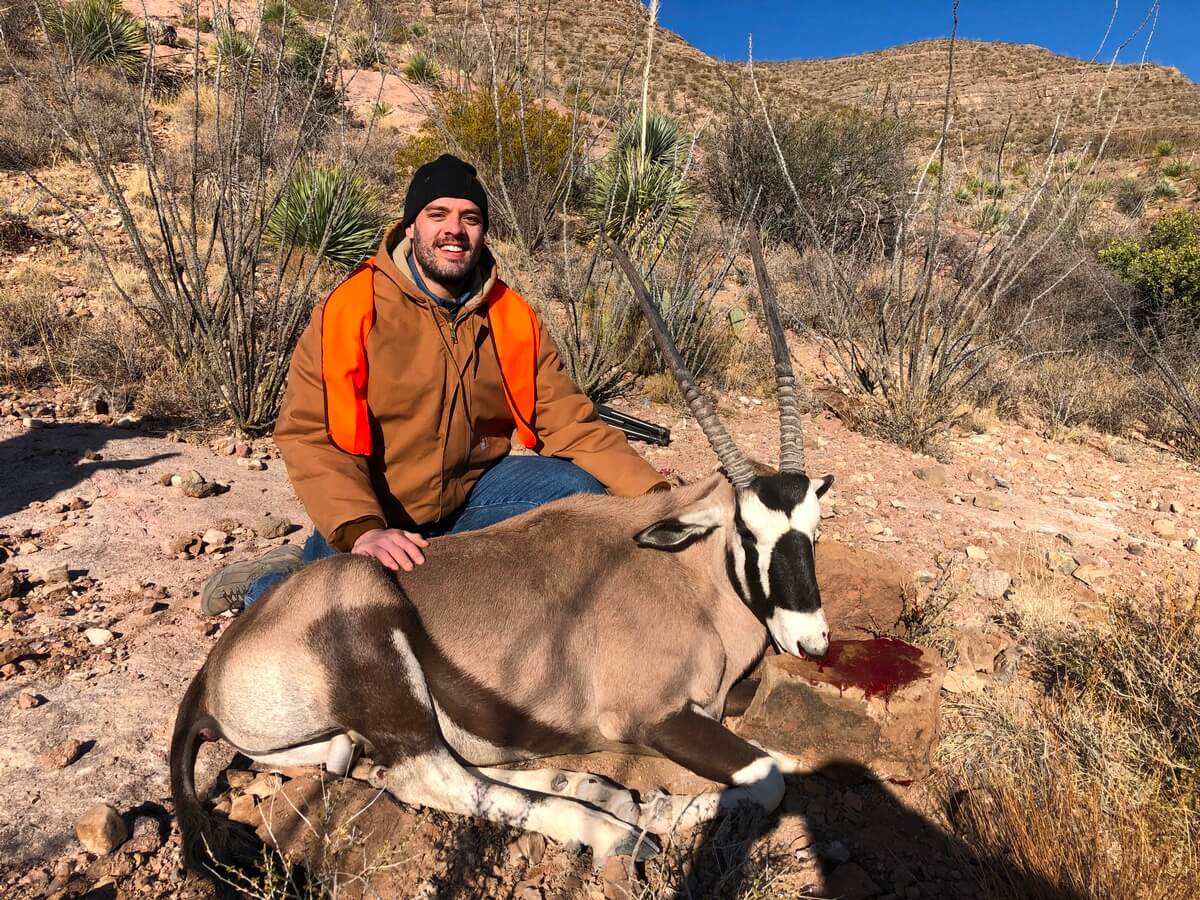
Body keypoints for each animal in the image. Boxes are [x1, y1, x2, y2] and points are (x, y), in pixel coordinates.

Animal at [169, 235, 834, 878]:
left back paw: (603, 790)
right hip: (381, 655)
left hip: (350, 737)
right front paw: (675, 809)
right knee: (431, 777)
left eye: (813, 529)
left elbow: (791, 755)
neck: (685, 576)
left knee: (413, 768)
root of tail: (213, 671)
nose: (812, 642)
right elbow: (771, 776)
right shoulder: (655, 717)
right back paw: (614, 827)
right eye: (748, 531)